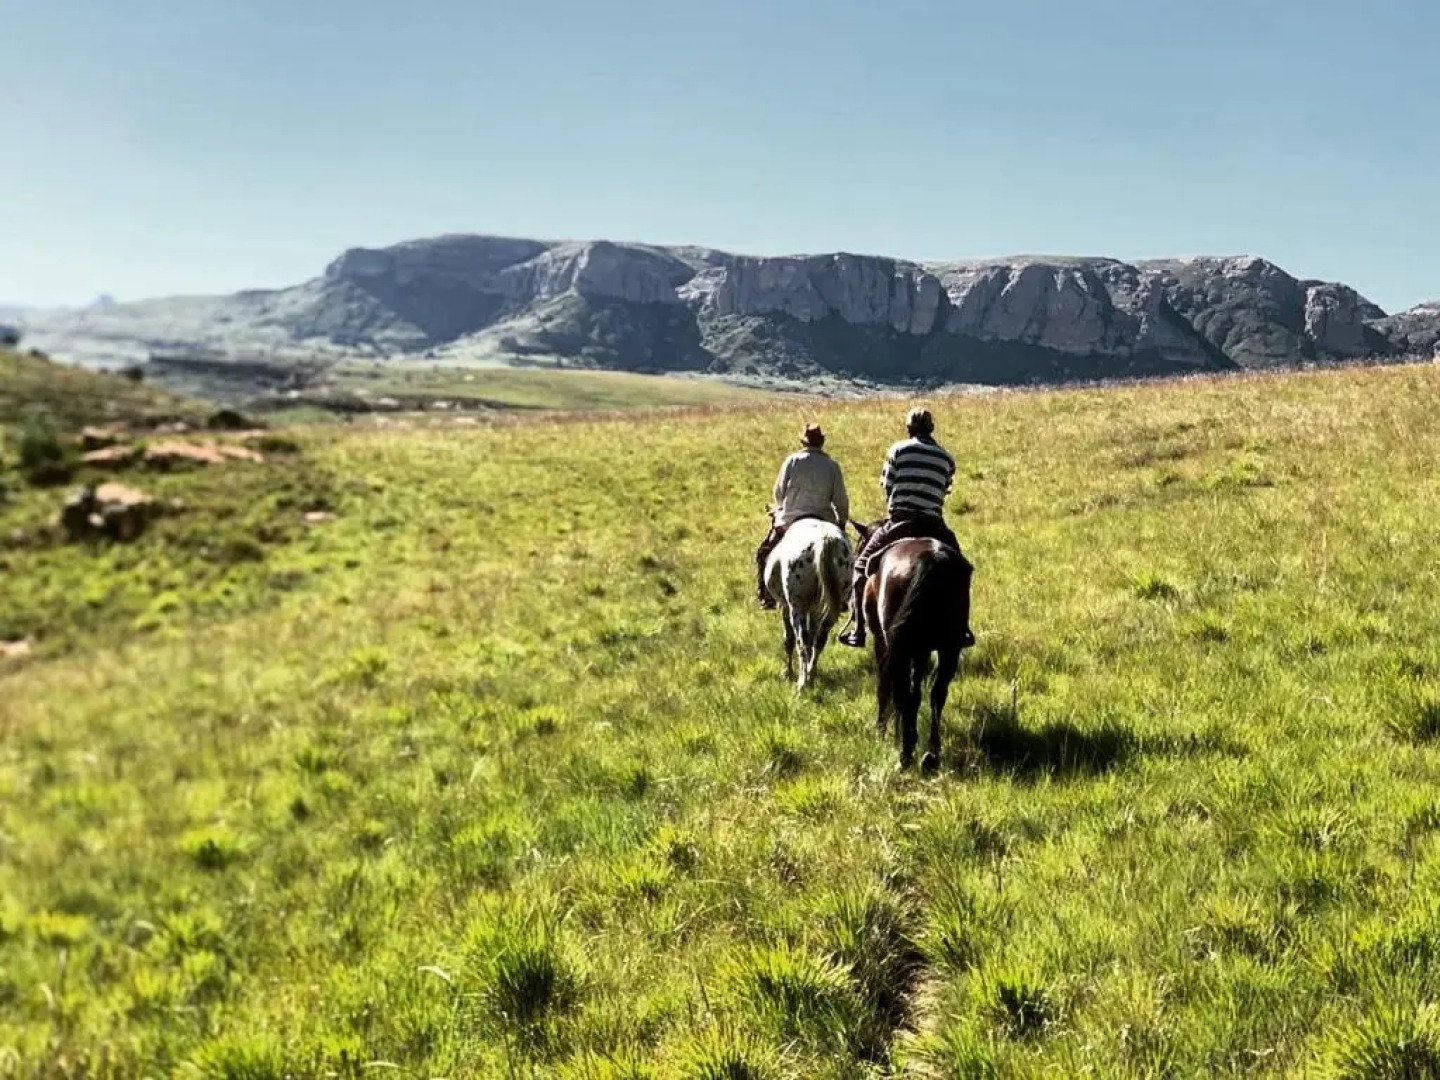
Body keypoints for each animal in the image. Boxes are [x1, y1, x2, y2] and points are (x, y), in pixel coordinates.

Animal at [762, 518, 854, 690]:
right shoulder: (816, 610)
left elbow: (788, 639)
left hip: (797, 608)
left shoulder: (786, 607)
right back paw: (811, 675)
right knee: (819, 640)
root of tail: (824, 539)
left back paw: (802, 683)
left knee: (802, 642)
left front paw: (787, 673)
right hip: (830, 609)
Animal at [852, 519, 974, 772]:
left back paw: (905, 754)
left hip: (898, 647)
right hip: (949, 647)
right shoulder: (921, 650)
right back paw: (931, 756)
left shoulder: (883, 643)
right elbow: (917, 692)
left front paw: (882, 732)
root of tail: (930, 561)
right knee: (937, 694)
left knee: (900, 691)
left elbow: (885, 688)